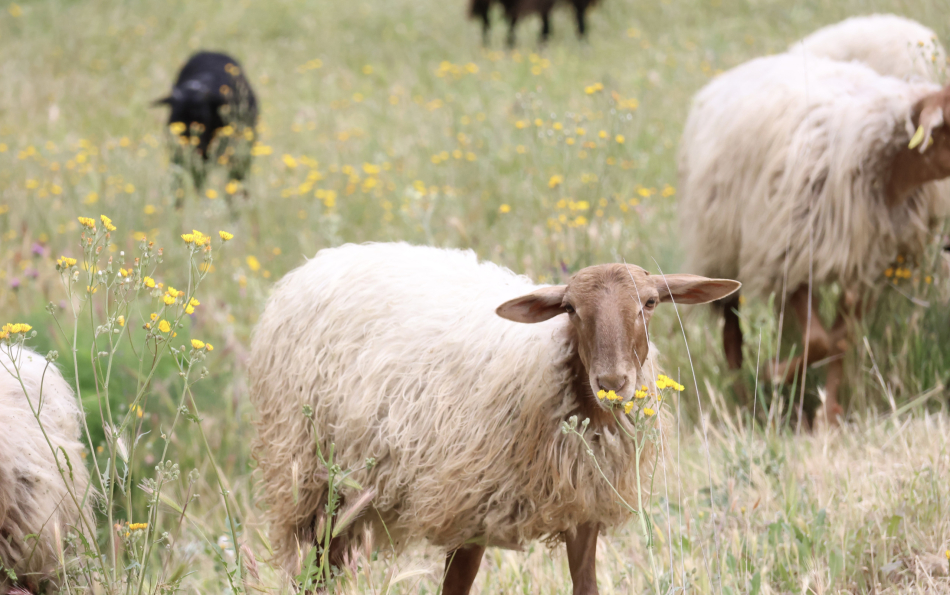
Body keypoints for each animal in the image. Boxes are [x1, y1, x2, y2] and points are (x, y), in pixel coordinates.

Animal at [249, 242, 739, 594]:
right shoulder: (470, 514)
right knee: (313, 573)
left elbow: (586, 586)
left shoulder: (583, 514)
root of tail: (320, 261)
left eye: (651, 303)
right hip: (310, 482)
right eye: (571, 309)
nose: (612, 381)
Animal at [677, 51, 950, 425]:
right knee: (731, 333)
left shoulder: (865, 265)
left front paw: (827, 416)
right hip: (719, 246)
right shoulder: (791, 250)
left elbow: (839, 341)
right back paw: (745, 404)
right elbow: (821, 341)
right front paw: (775, 373)